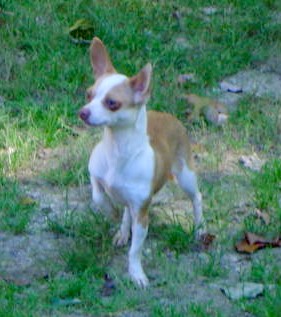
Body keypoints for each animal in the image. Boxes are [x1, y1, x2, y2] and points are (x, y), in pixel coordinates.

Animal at [78, 37, 203, 286]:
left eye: (112, 103)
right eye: (89, 95)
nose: (83, 112)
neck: (116, 150)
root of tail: (169, 116)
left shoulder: (142, 214)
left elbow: (135, 250)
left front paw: (136, 274)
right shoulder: (95, 175)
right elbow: (98, 196)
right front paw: (111, 213)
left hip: (185, 176)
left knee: (197, 198)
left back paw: (199, 228)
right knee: (126, 208)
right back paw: (122, 232)